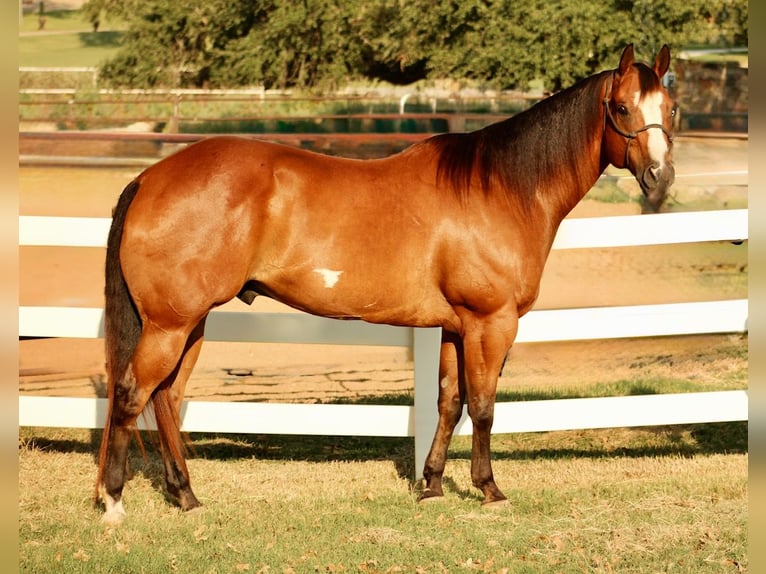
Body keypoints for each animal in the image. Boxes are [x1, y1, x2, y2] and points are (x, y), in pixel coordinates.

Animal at [96, 44, 676, 524]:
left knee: (166, 397)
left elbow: (450, 402)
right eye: (621, 108)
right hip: (170, 324)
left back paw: (185, 496)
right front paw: (489, 489)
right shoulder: (491, 323)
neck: (500, 189)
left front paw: (432, 486)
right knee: (131, 393)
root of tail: (149, 177)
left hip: (190, 324)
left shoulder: (456, 326)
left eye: (669, 108)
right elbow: (484, 406)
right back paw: (115, 501)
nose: (660, 177)